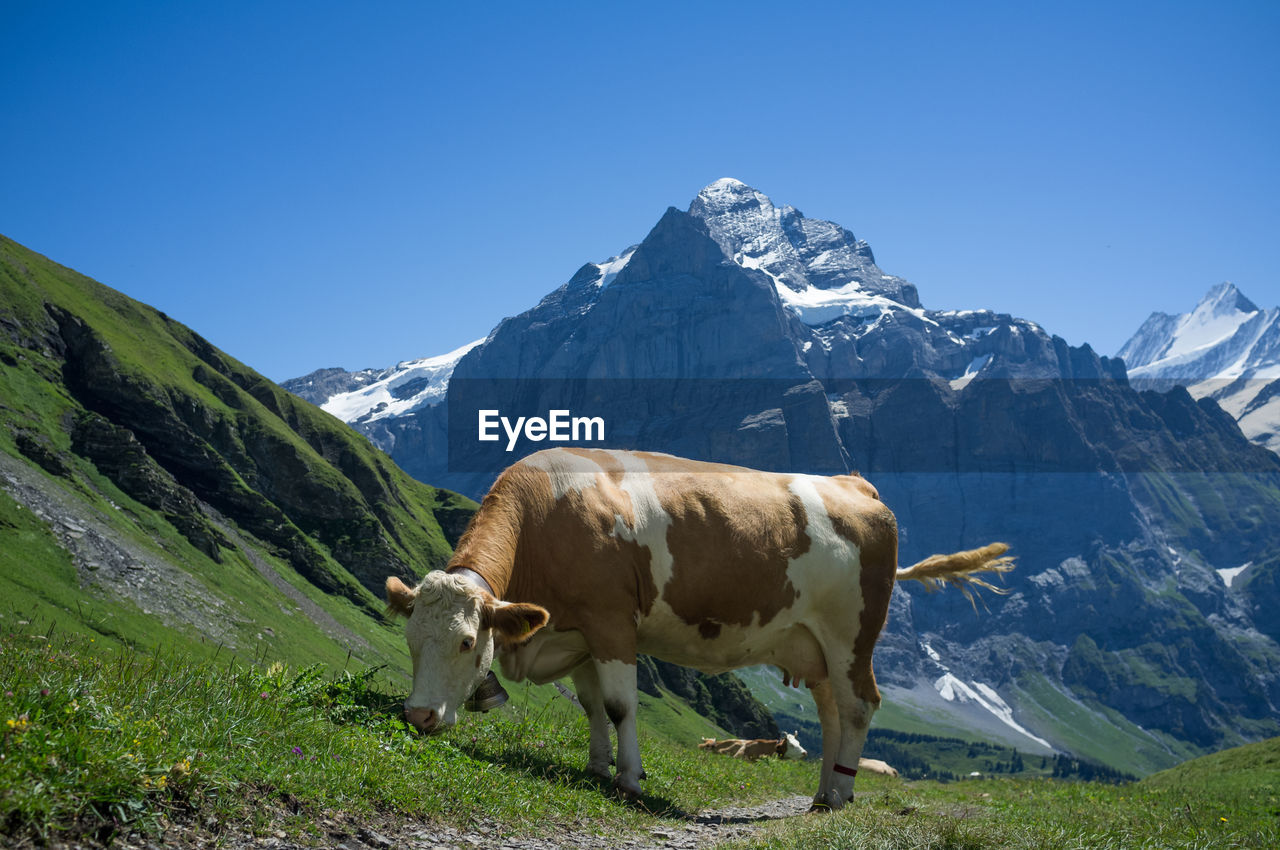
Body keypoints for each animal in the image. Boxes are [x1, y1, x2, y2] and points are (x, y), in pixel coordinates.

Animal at [384, 445, 1013, 809]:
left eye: (467, 642)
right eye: (411, 640)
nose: (419, 716)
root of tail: (856, 484)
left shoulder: (611, 620)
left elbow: (620, 707)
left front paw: (629, 779)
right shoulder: (579, 632)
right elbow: (592, 707)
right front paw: (594, 767)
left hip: (852, 634)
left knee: (860, 706)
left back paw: (840, 795)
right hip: (813, 646)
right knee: (834, 711)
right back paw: (823, 790)